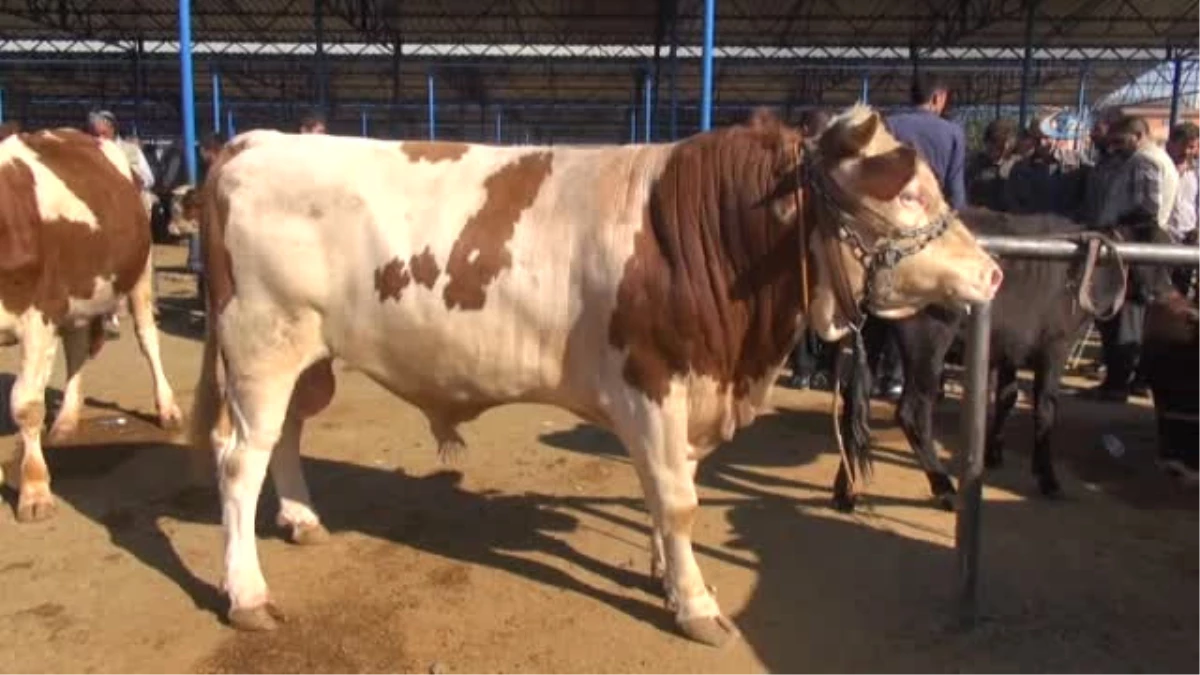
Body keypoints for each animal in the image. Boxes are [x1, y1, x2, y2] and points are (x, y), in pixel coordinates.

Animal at [0, 126, 182, 521]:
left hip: (138, 270)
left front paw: (34, 490)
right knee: (78, 346)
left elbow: (26, 405)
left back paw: (168, 409)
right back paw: (68, 417)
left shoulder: (38, 314)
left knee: (148, 338)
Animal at [192, 107, 1008, 643]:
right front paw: (697, 604)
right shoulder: (652, 381)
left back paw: (301, 519)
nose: (993, 271)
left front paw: (664, 573)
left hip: (306, 356)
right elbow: (678, 499)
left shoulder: (686, 395)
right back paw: (247, 592)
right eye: (908, 192)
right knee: (238, 461)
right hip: (261, 343)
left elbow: (670, 489)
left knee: (283, 438)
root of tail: (253, 141)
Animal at [835, 206, 1161, 509]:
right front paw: (1048, 478)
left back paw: (846, 491)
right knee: (912, 412)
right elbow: (1046, 409)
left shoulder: (1009, 348)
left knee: (853, 404)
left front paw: (993, 453)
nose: (1161, 293)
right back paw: (944, 487)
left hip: (871, 333)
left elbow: (1008, 397)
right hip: (929, 341)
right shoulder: (1054, 347)